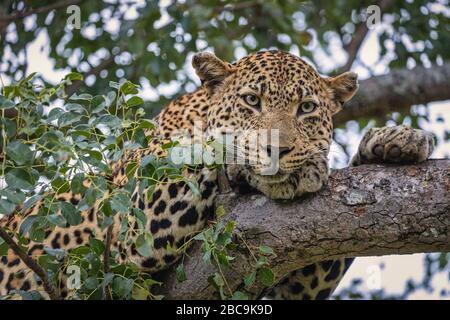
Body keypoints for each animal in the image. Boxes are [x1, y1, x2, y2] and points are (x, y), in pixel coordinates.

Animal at [0, 48, 436, 298]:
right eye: (252, 100)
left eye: (307, 109)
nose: (279, 150)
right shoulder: (135, 222)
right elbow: (207, 149)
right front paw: (285, 165)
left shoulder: (295, 287)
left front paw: (395, 141)